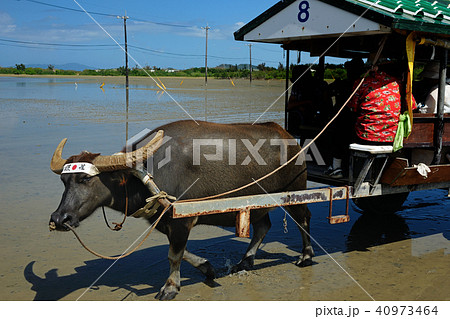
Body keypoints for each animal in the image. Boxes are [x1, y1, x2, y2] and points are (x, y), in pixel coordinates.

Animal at [49, 120, 312, 300]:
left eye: (85, 179)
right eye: (64, 181)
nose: (59, 218)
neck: (145, 176)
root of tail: (289, 138)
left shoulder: (181, 221)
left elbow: (174, 255)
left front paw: (170, 287)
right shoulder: (167, 221)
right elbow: (181, 251)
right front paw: (207, 267)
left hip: (296, 191)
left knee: (304, 220)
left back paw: (306, 257)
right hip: (258, 204)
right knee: (263, 226)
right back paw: (245, 262)